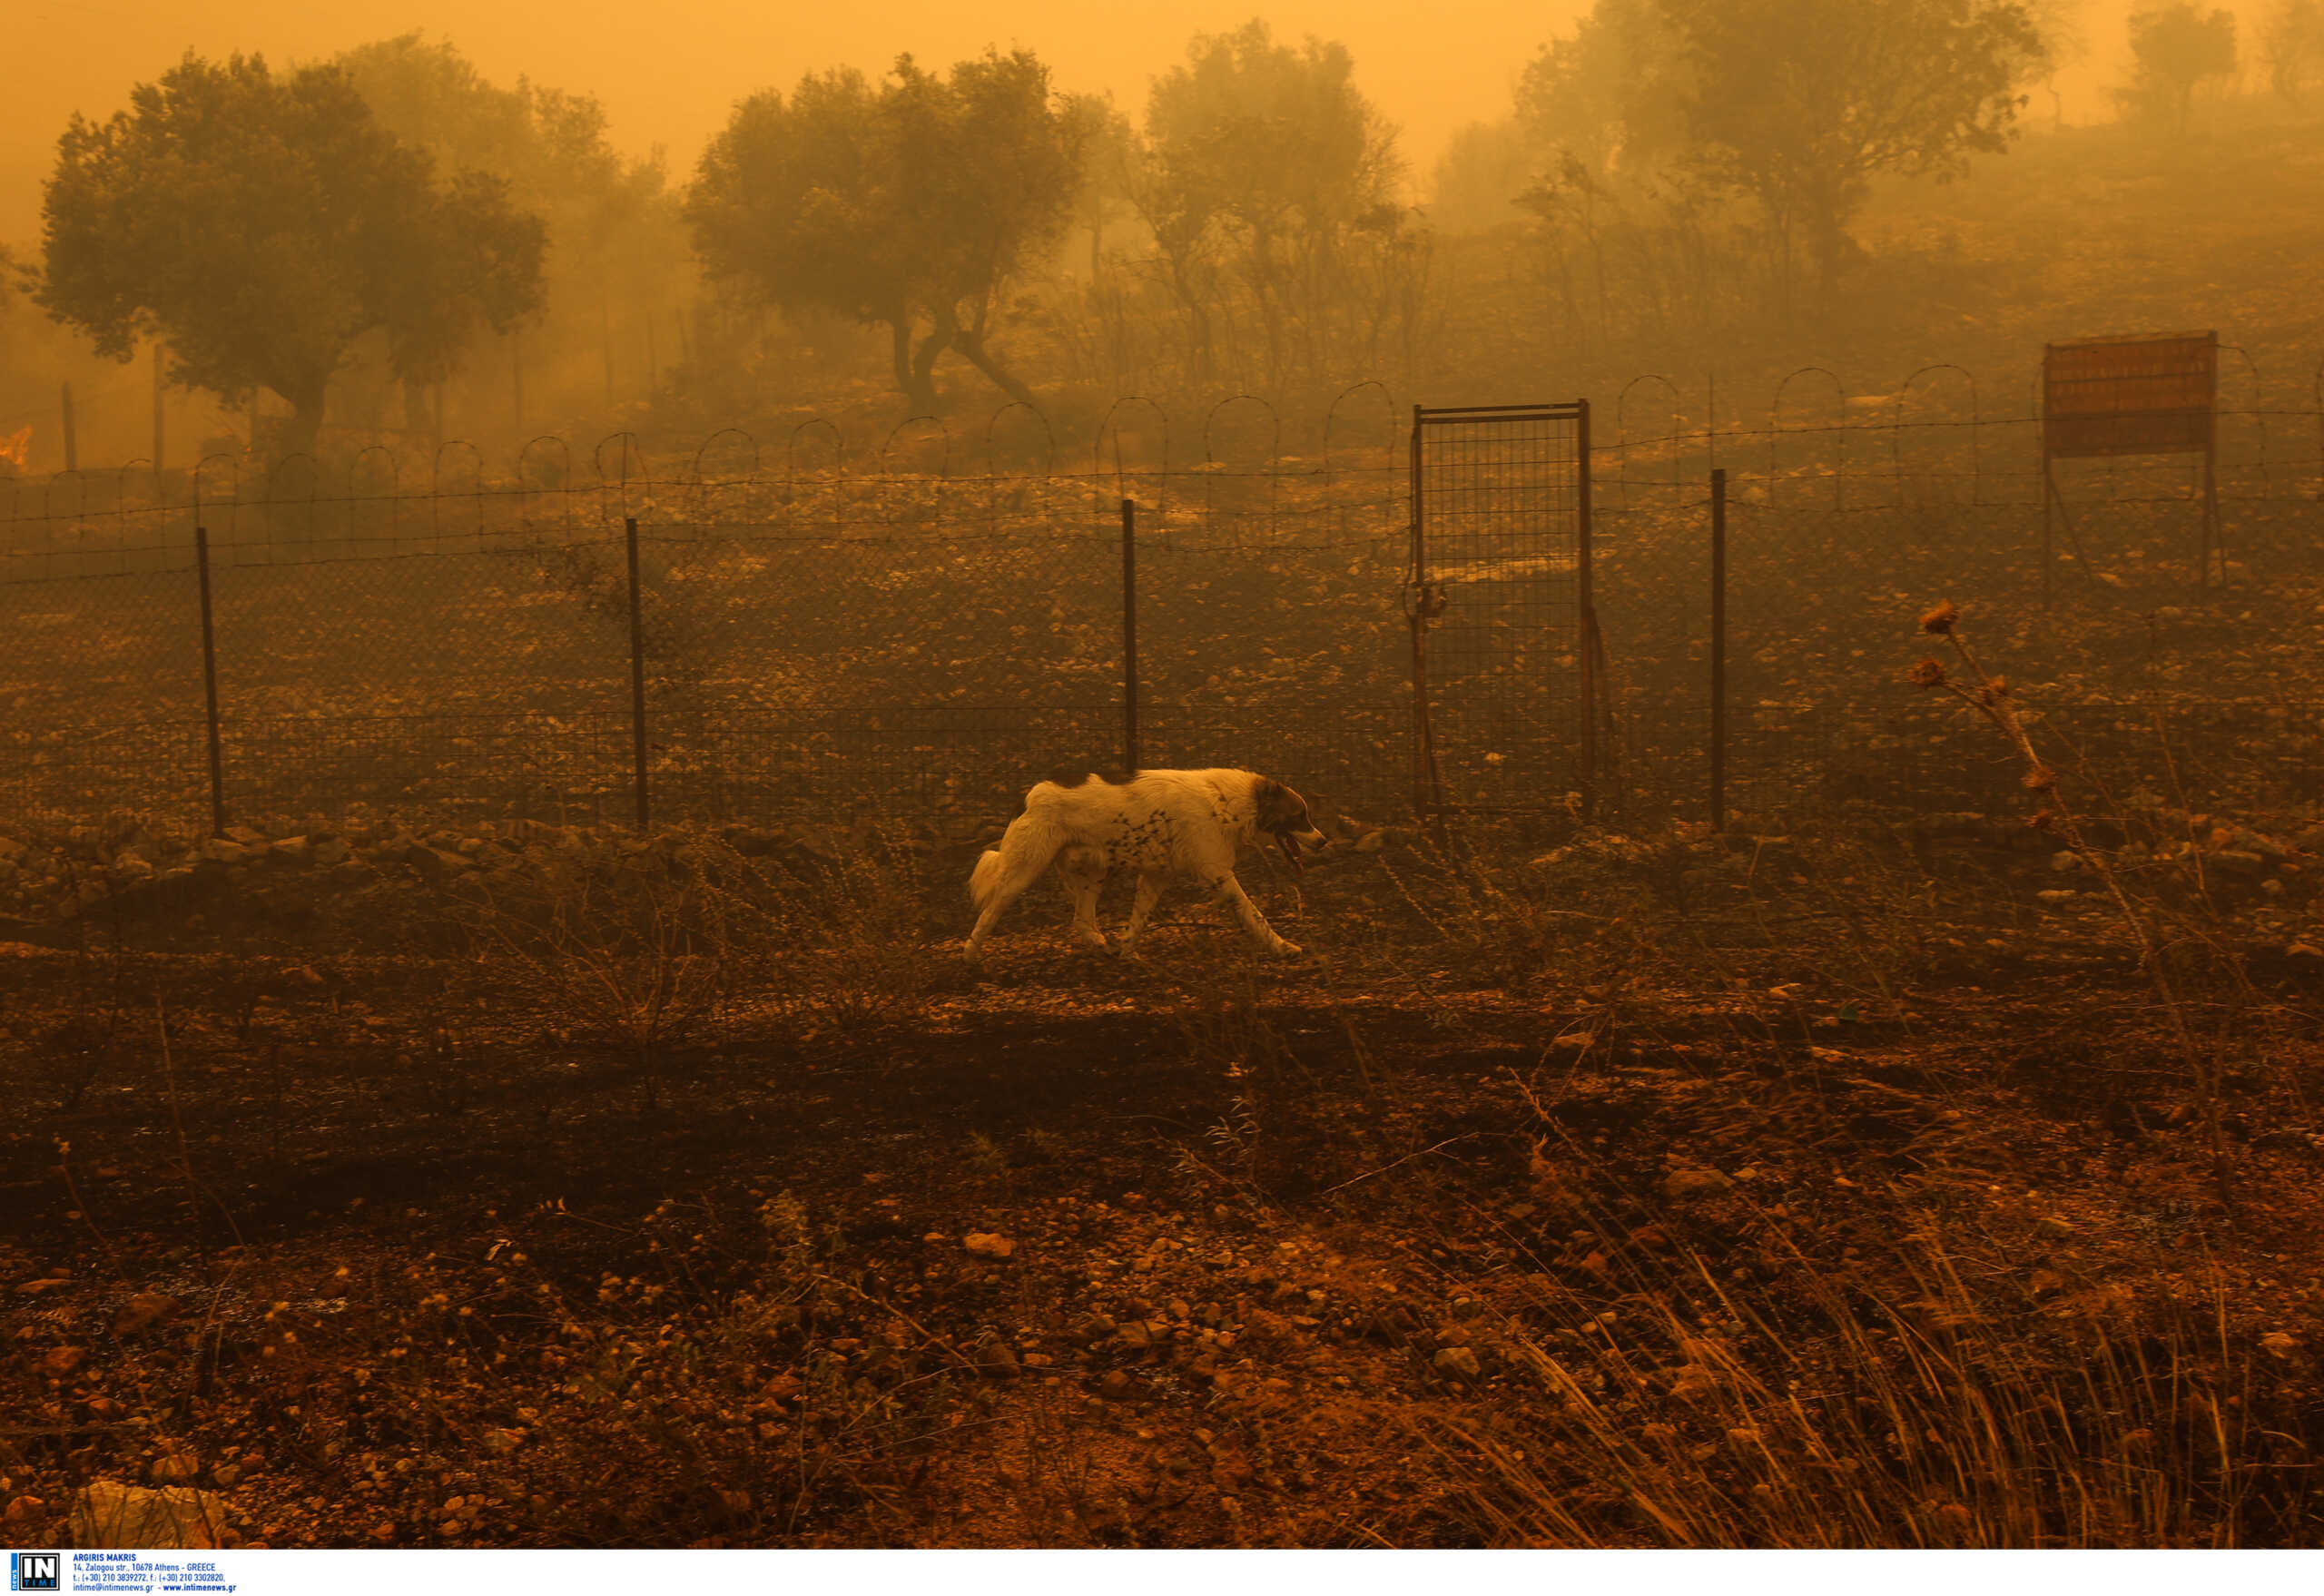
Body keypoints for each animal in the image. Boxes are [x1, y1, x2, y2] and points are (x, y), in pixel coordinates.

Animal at [961, 766, 1329, 957]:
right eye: (1300, 816)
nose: (1324, 841)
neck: (1230, 803)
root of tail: (1027, 795)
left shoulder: (1155, 878)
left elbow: (1137, 922)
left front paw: (1127, 954)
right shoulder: (1219, 876)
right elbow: (1256, 916)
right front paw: (1283, 947)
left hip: (1093, 873)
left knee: (1082, 921)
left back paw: (1101, 946)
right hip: (1022, 873)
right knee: (988, 915)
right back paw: (970, 958)